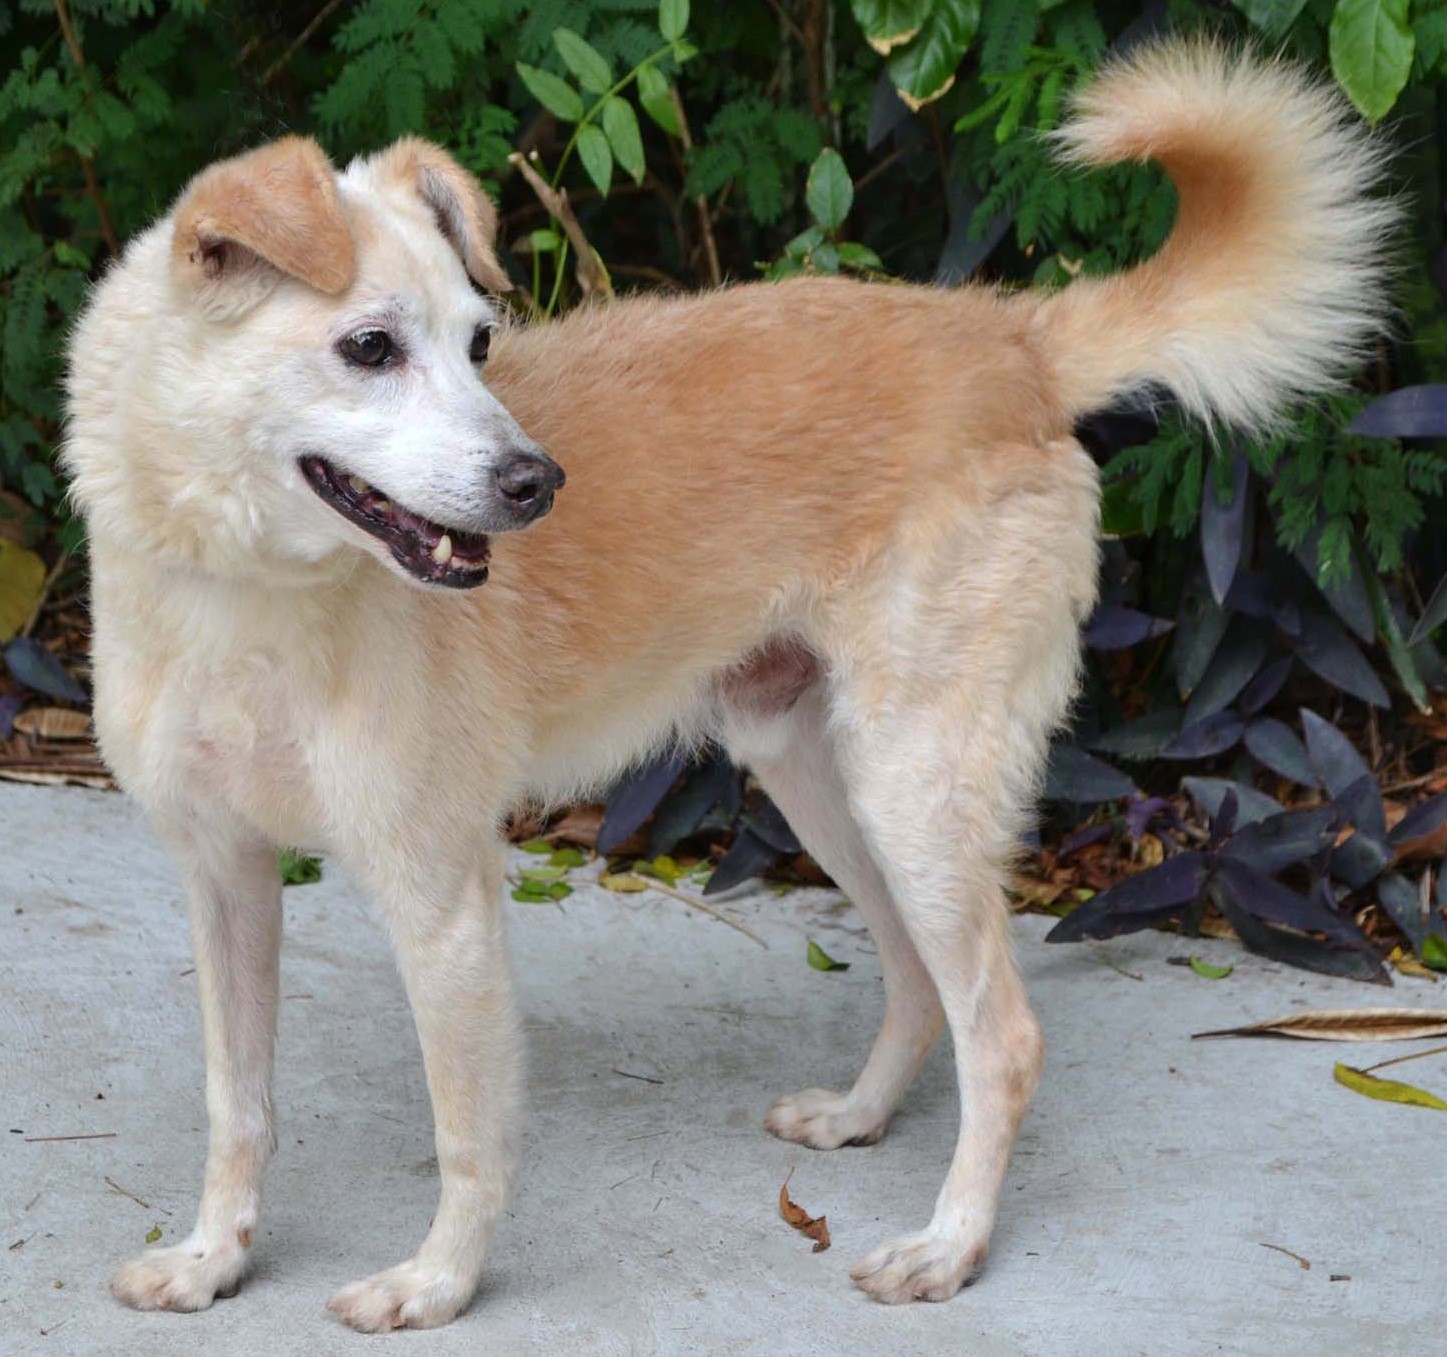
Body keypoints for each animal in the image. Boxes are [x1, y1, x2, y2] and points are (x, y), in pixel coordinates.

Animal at [65, 42, 1389, 1330]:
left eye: (480, 344)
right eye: (369, 347)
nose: (538, 482)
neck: (242, 600)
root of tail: (1007, 340)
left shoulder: (439, 894)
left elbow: (466, 1134)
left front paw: (437, 1285)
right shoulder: (223, 875)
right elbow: (237, 1102)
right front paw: (212, 1260)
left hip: (914, 786)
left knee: (1002, 1033)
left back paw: (948, 1247)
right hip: (816, 773)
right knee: (920, 980)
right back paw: (858, 1118)